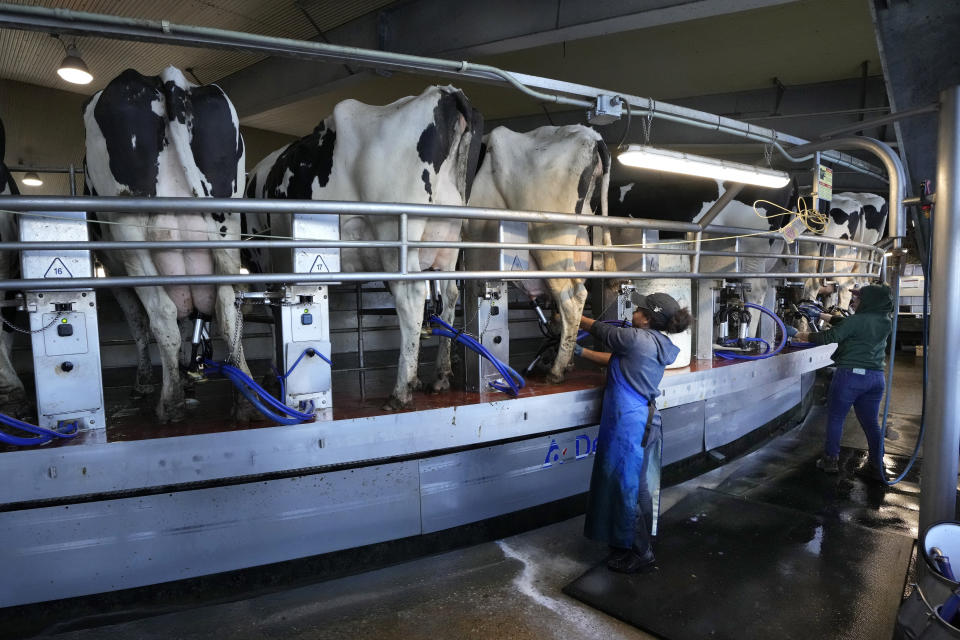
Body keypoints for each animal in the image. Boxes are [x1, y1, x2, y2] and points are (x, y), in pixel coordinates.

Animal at [85, 67, 251, 422]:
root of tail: (167, 77)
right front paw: (189, 375)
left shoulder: (113, 274)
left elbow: (139, 322)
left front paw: (145, 382)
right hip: (227, 219)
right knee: (228, 307)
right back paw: (244, 399)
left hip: (129, 229)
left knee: (161, 314)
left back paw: (170, 403)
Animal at [248, 85, 484, 410]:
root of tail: (445, 92)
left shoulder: (263, 259)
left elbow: (273, 316)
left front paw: (274, 374)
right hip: (449, 237)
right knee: (449, 294)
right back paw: (440, 375)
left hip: (395, 233)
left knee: (412, 297)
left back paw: (401, 390)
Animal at [464, 127, 608, 382]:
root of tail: (592, 135)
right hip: (579, 243)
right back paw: (566, 361)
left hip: (549, 241)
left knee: (572, 298)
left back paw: (556, 371)